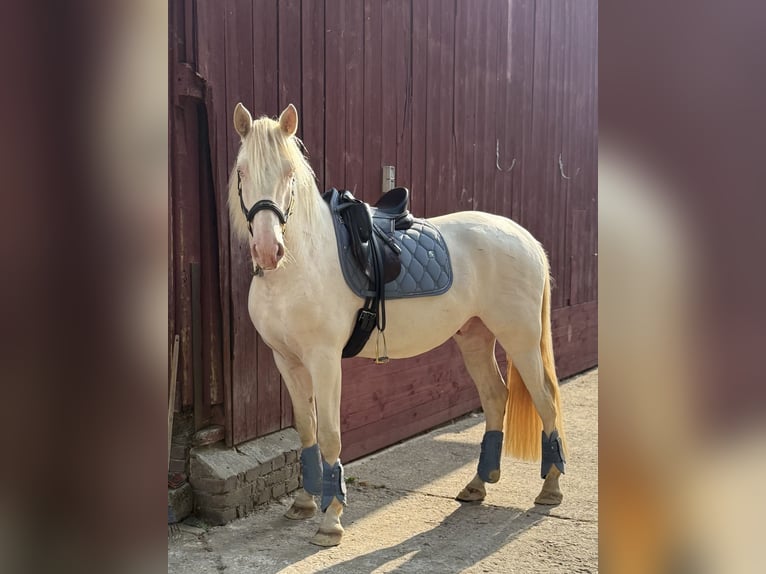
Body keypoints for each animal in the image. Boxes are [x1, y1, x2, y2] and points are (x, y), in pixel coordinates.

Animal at [228, 102, 568, 547]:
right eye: (242, 171)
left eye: (289, 173)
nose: (269, 250)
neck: (301, 265)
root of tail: (525, 238)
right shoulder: (286, 360)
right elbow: (306, 429)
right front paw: (303, 503)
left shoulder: (324, 360)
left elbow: (330, 434)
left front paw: (331, 520)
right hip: (475, 337)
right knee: (496, 397)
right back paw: (477, 485)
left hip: (520, 339)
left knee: (545, 400)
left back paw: (550, 488)